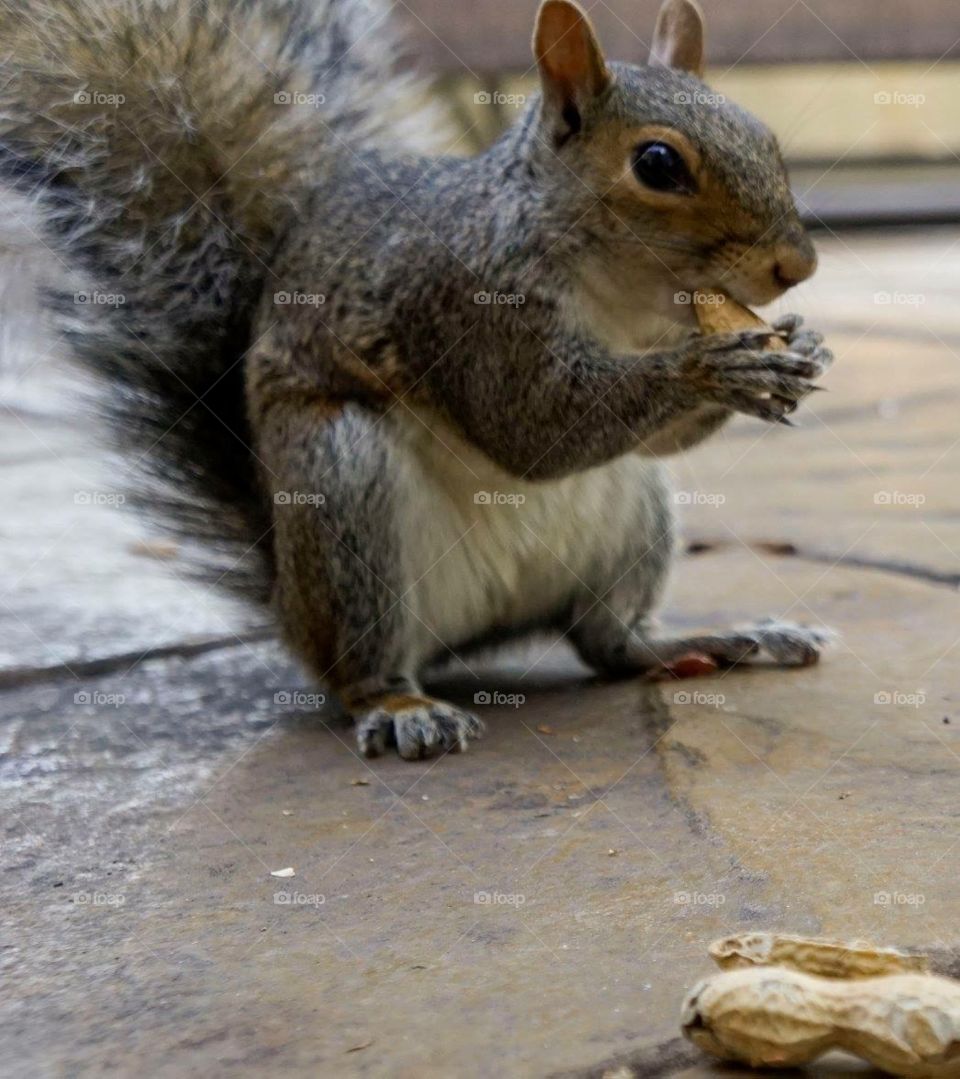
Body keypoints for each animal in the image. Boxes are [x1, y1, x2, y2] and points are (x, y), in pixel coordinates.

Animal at [1, 0, 834, 760]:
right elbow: (528, 425)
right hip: (340, 489)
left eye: (765, 136)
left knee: (607, 641)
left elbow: (654, 438)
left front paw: (801, 345)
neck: (623, 294)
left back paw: (716, 637)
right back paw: (402, 706)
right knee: (358, 667)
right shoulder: (461, 303)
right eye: (658, 164)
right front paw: (720, 365)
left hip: (633, 517)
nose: (797, 265)